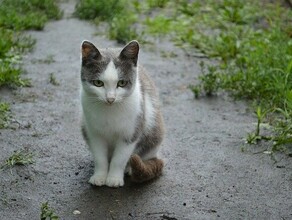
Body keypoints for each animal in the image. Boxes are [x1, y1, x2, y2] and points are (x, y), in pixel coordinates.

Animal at [80, 40, 164, 187]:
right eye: (98, 83)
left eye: (122, 83)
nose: (110, 98)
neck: (110, 112)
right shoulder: (94, 133)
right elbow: (99, 157)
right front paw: (99, 176)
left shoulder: (130, 133)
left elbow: (119, 159)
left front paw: (114, 178)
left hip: (154, 135)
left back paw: (130, 168)